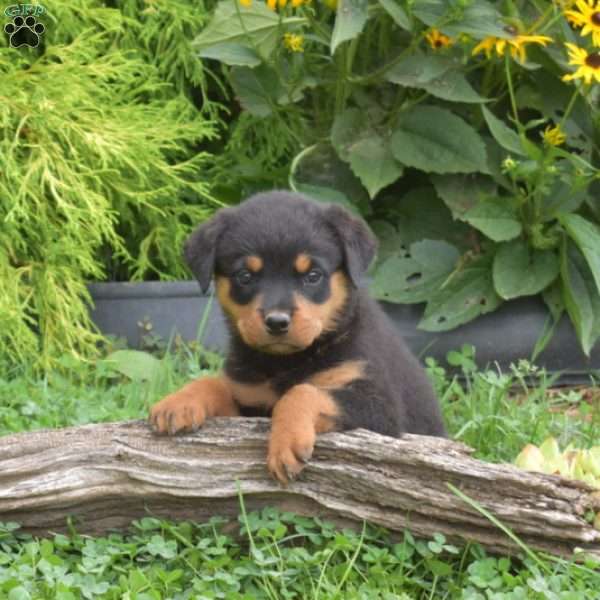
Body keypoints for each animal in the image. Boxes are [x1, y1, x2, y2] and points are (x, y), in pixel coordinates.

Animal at [149, 191, 446, 482]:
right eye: (245, 276)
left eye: (313, 275)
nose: (277, 322)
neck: (286, 362)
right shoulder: (250, 401)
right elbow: (214, 383)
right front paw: (178, 402)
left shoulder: (381, 409)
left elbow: (303, 391)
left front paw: (286, 445)